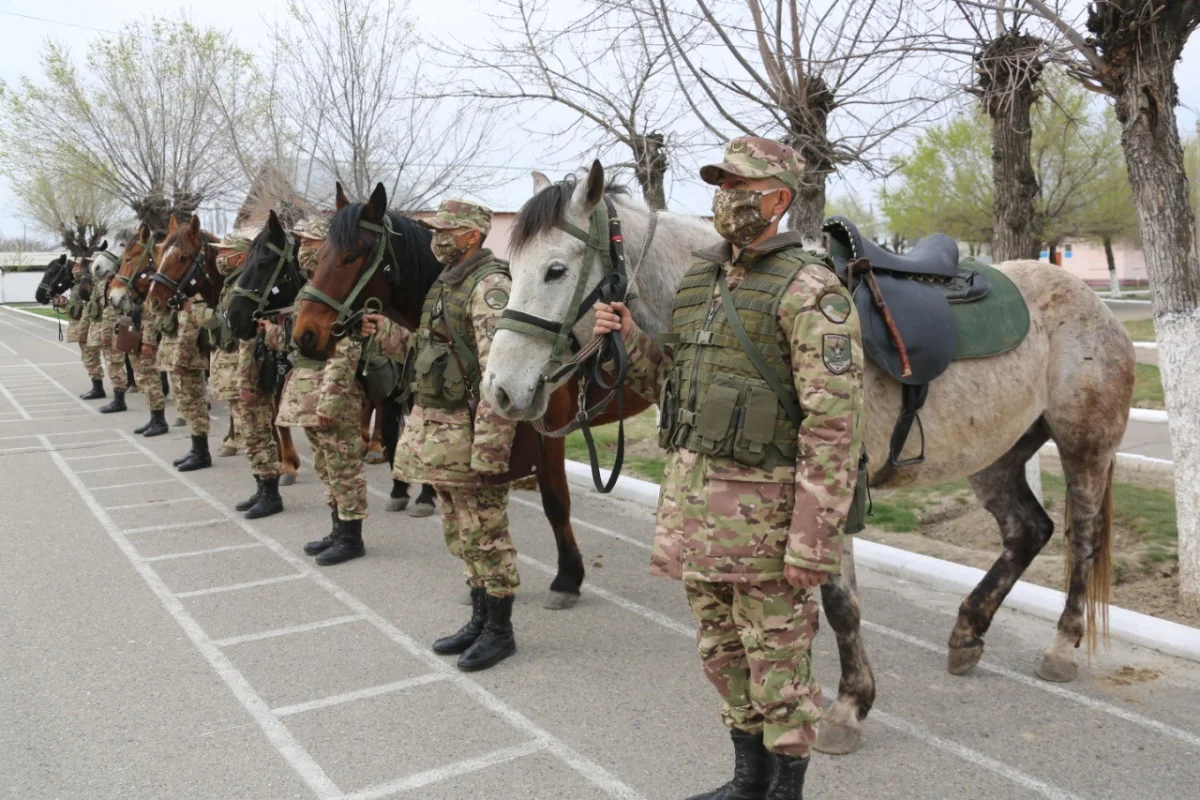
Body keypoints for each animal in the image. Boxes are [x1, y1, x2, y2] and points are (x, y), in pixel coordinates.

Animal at [289, 184, 648, 609]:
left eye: (350, 255)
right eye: (320, 254)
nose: (305, 334)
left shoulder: (545, 432)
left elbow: (554, 502)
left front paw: (566, 578)